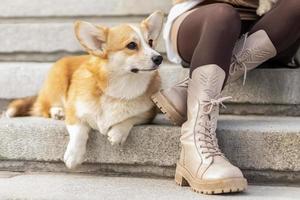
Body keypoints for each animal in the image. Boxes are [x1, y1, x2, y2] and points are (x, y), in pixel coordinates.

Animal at [5, 10, 164, 168]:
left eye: (150, 42)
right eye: (131, 45)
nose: (159, 58)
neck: (119, 89)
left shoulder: (148, 113)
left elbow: (131, 118)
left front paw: (118, 133)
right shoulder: (74, 112)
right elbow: (79, 131)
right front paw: (74, 155)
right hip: (58, 82)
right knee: (44, 107)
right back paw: (58, 112)